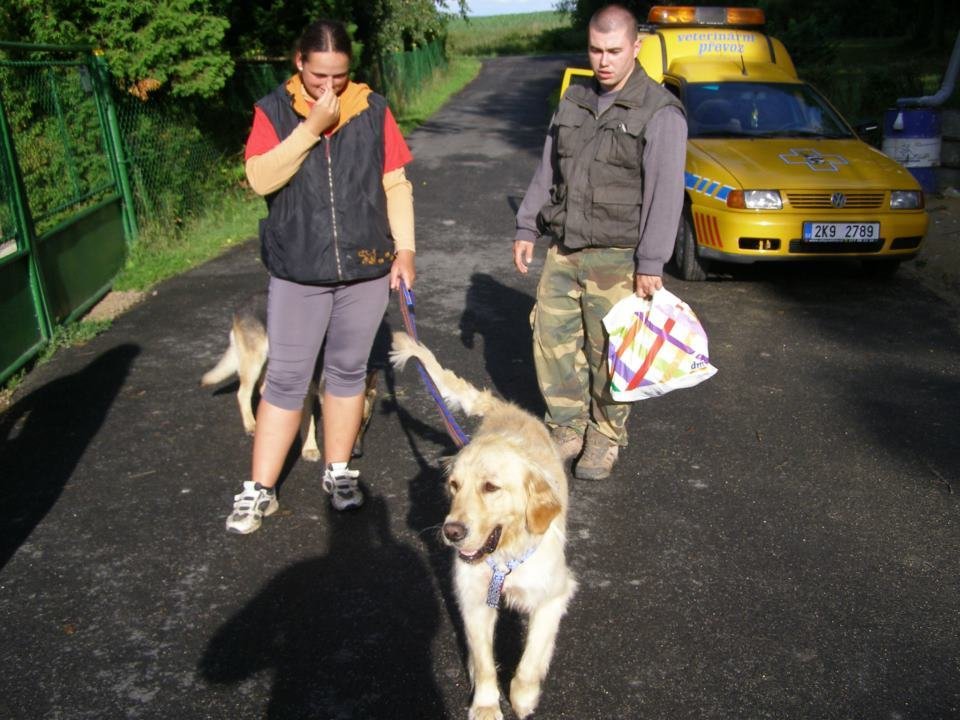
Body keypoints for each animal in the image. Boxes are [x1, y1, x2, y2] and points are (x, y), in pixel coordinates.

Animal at [201, 298, 376, 462]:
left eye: (364, 422)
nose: (357, 453)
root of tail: (245, 302)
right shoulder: (305, 394)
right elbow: (309, 421)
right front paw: (309, 448)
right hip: (255, 361)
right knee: (243, 393)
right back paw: (251, 424)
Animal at [386, 332, 572, 720]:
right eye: (454, 486)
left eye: (491, 487)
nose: (452, 532)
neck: (503, 560)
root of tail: (504, 407)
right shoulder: (472, 600)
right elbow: (485, 662)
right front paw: (486, 705)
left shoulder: (554, 595)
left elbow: (530, 660)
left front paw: (523, 696)